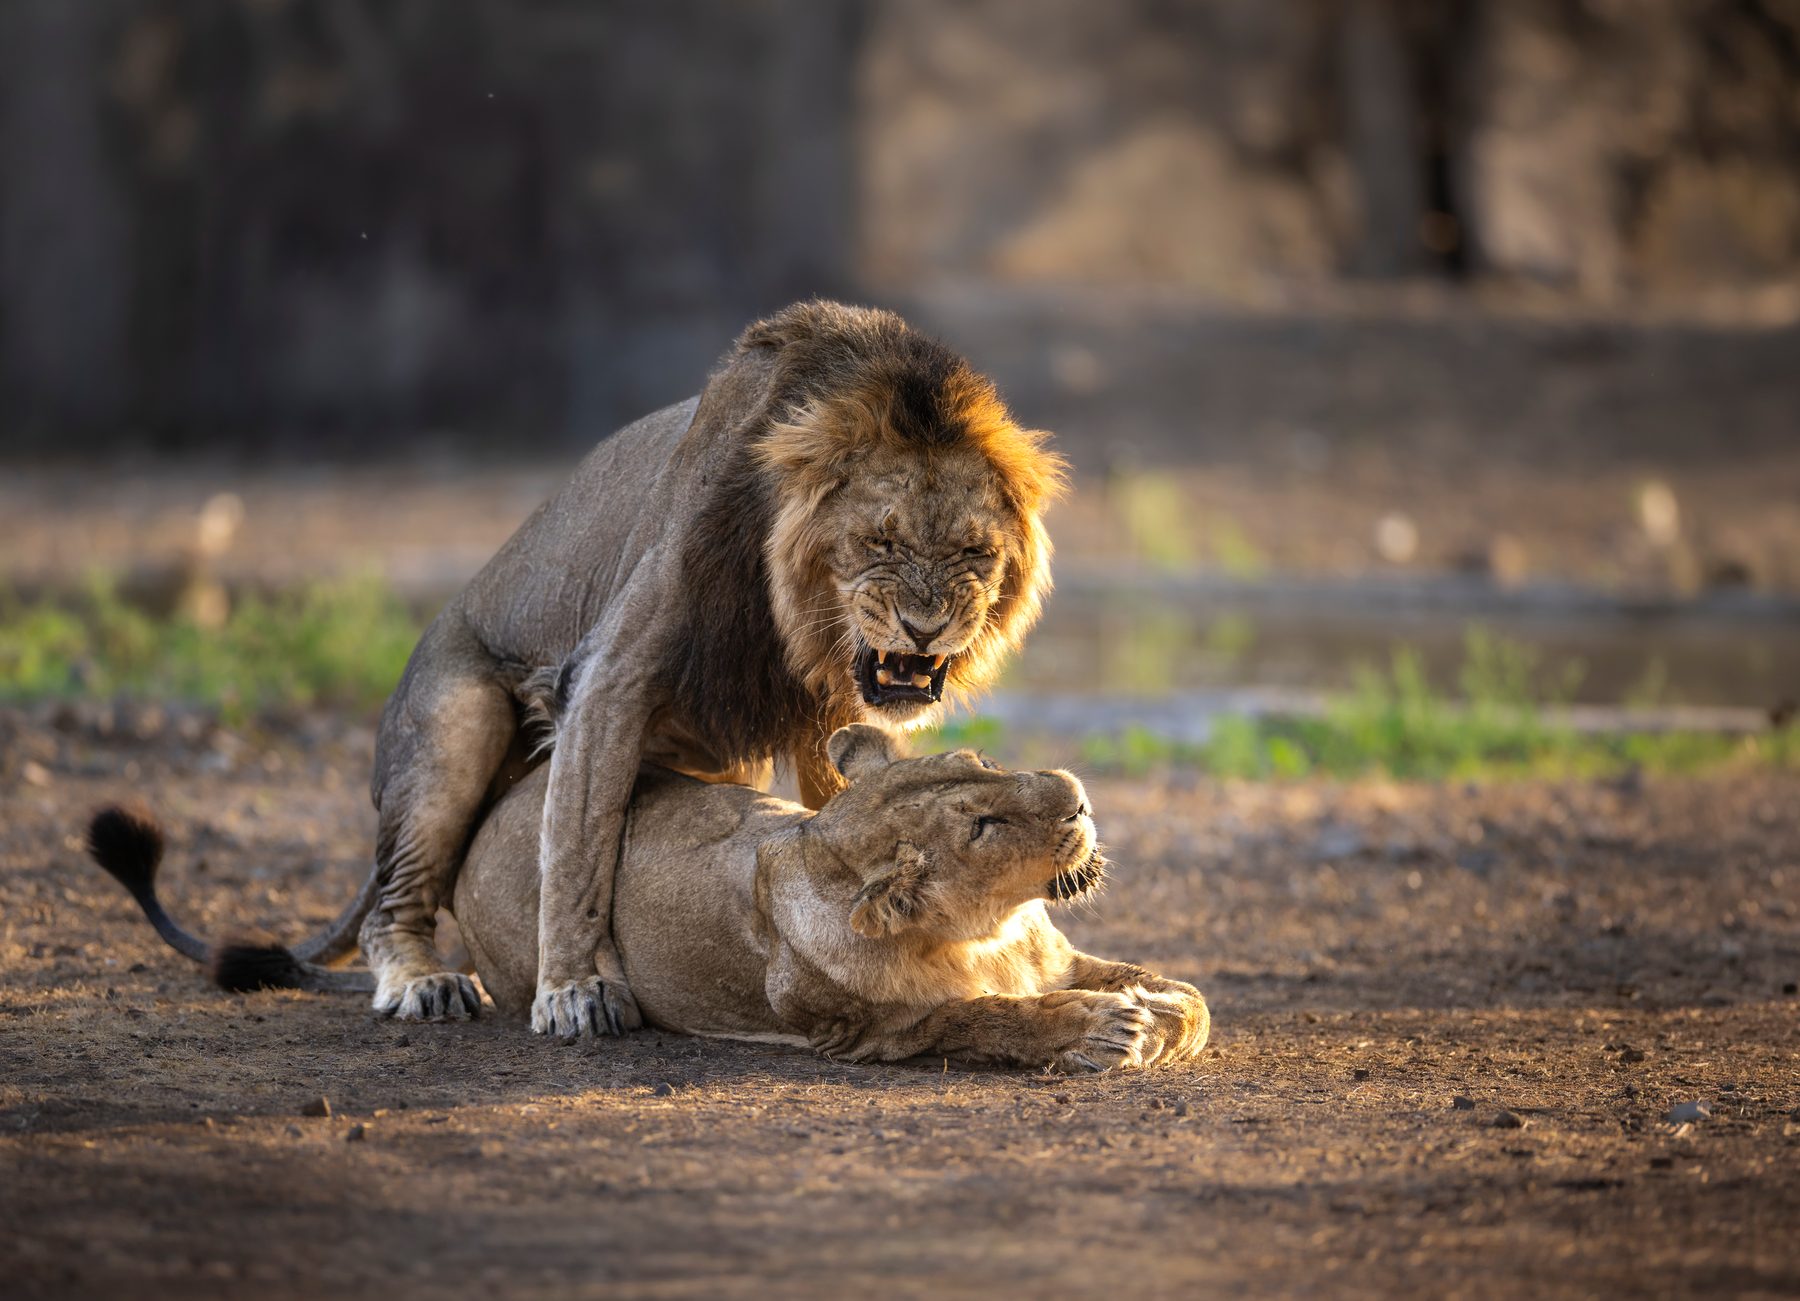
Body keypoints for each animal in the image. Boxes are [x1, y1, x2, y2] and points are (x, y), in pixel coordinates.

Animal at [83, 726, 1210, 1072]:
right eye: (980, 825)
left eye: (980, 759)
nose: (1077, 793)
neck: (989, 929)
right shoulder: (870, 1029)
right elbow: (991, 1018)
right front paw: (1109, 1030)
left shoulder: (1054, 949)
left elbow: (1163, 981)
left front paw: (1167, 1011)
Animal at [341, 300, 1066, 1037]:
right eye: (879, 541)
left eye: (974, 551)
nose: (925, 626)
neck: (795, 623)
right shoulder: (607, 677)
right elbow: (576, 848)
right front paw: (572, 988)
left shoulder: (830, 711)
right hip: (457, 725)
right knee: (394, 901)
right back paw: (423, 979)